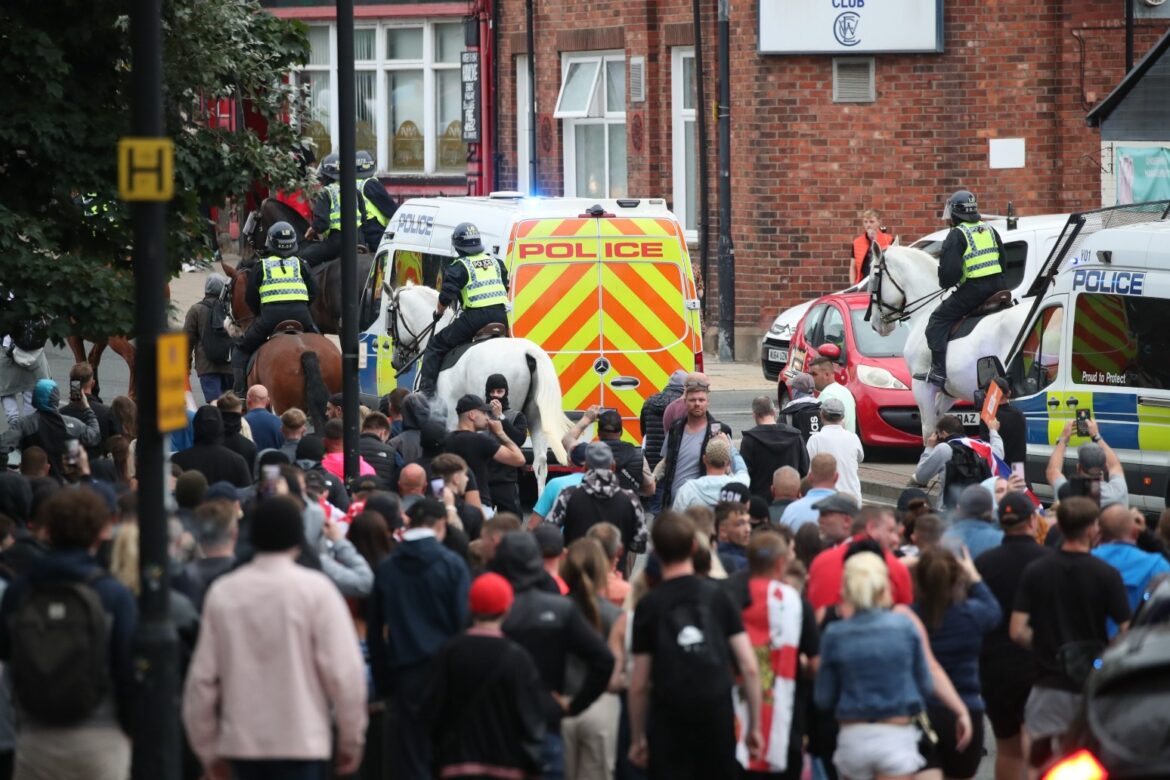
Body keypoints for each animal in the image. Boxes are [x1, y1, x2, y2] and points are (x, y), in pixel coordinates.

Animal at [865, 245, 1029, 439]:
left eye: (873, 279)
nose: (875, 325)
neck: (927, 309)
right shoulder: (949, 392)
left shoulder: (922, 386)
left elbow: (929, 431)